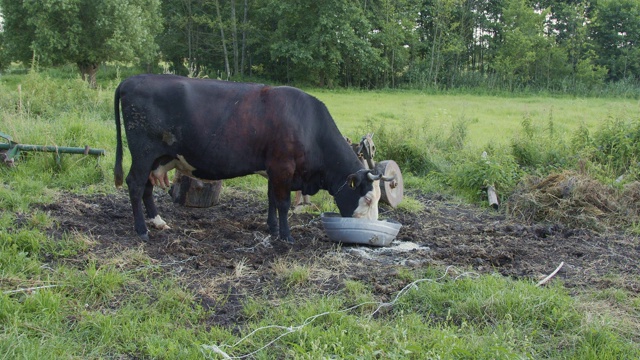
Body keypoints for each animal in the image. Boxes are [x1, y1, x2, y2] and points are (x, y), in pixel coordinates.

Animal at [115, 74, 392, 242]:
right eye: (368, 199)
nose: (371, 228)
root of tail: (133, 79)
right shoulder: (283, 167)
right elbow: (283, 203)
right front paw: (285, 236)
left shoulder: (273, 170)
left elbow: (271, 200)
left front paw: (272, 227)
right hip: (143, 153)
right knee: (135, 184)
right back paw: (141, 230)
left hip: (155, 158)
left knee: (147, 187)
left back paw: (157, 221)